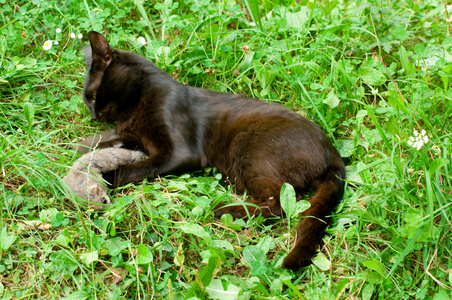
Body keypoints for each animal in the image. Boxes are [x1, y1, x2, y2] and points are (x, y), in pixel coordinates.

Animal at [82, 30, 346, 270]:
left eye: (92, 96)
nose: (93, 116)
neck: (134, 106)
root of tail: (333, 154)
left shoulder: (179, 153)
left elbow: (135, 169)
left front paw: (98, 180)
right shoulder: (134, 139)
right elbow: (111, 146)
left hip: (246, 145)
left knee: (279, 203)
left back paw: (221, 209)